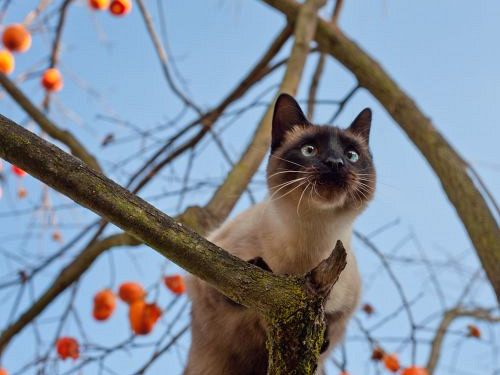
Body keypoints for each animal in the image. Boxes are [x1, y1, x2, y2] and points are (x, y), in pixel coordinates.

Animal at [184, 94, 376, 375]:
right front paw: (257, 270)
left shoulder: (343, 310)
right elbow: (231, 287)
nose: (335, 163)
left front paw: (323, 339)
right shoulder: (207, 265)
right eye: (309, 150)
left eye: (351, 155)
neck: (310, 236)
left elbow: (329, 326)